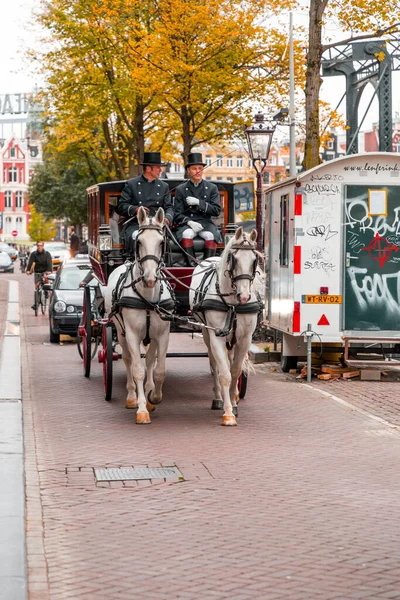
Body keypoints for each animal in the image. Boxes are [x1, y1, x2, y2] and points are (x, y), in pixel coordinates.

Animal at [104, 209, 173, 424]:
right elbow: (137, 370)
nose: (150, 279)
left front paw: (153, 397)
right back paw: (131, 397)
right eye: (139, 242)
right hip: (121, 331)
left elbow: (159, 370)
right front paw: (142, 409)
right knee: (127, 359)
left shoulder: (163, 334)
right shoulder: (132, 334)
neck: (148, 297)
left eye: (161, 242)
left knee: (149, 359)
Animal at [189, 226, 260, 426]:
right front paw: (228, 413)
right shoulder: (216, 337)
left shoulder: (244, 339)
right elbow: (224, 374)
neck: (232, 304)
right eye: (233, 258)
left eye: (254, 260)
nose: (244, 296)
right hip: (207, 334)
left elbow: (235, 371)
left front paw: (234, 404)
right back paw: (218, 398)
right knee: (215, 364)